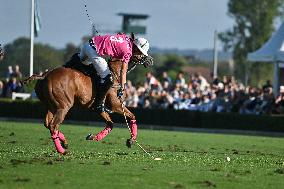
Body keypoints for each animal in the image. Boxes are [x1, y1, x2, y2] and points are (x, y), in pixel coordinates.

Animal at [22, 55, 153, 155]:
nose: (150, 59)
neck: (114, 73)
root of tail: (45, 75)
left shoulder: (99, 107)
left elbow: (110, 124)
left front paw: (92, 137)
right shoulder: (115, 104)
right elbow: (132, 116)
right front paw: (131, 140)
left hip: (51, 106)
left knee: (48, 124)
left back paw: (64, 142)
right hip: (63, 106)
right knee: (53, 125)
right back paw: (62, 150)